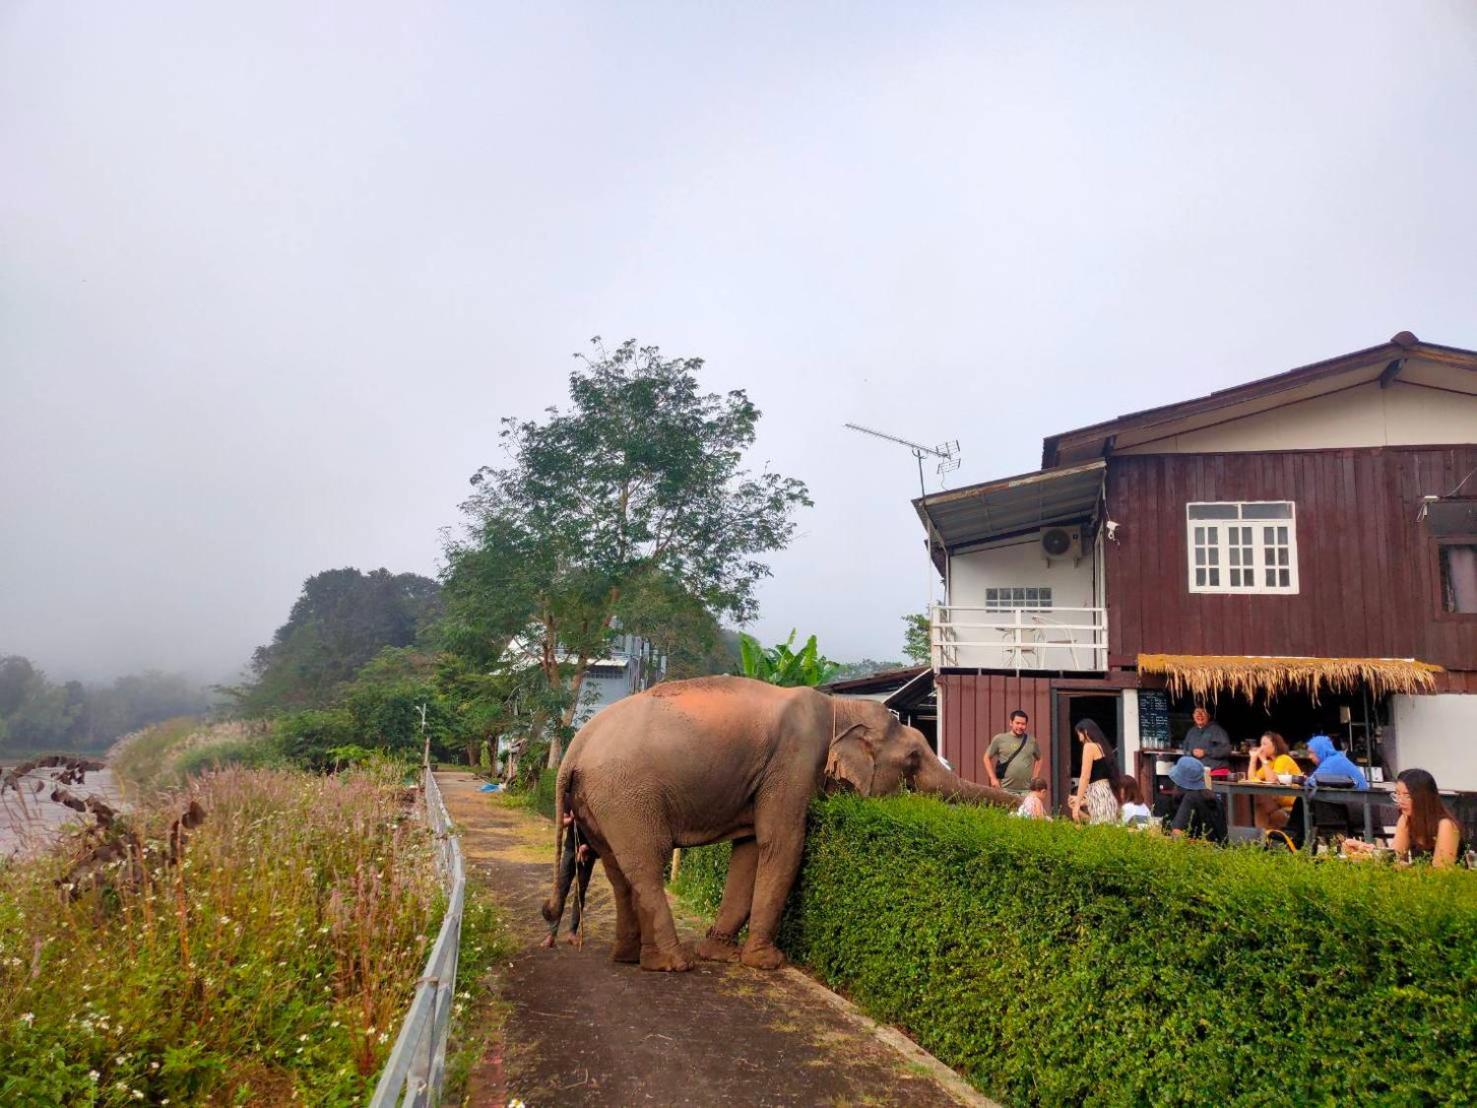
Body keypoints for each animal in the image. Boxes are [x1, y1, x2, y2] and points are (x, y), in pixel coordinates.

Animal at [543, 676, 1016, 969]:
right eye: (914, 759)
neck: (838, 707)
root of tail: (574, 748)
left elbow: (751, 850)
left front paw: (721, 954)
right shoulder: (795, 760)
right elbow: (783, 842)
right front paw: (766, 963)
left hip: (602, 801)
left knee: (616, 867)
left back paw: (634, 958)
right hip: (625, 793)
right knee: (645, 861)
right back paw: (674, 964)